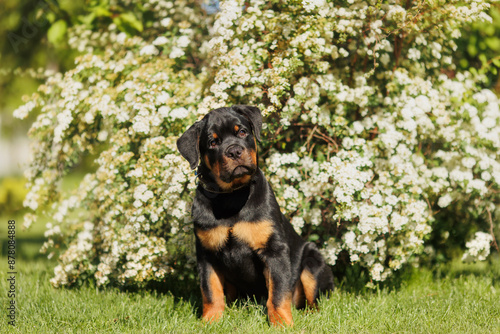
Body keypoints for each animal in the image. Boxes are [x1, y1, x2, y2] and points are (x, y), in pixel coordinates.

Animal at [178, 105, 334, 326]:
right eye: (213, 142)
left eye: (243, 132)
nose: (234, 151)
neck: (232, 196)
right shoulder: (206, 254)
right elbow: (210, 291)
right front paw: (210, 321)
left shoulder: (274, 250)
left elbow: (278, 293)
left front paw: (281, 323)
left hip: (313, 261)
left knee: (314, 297)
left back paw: (310, 315)